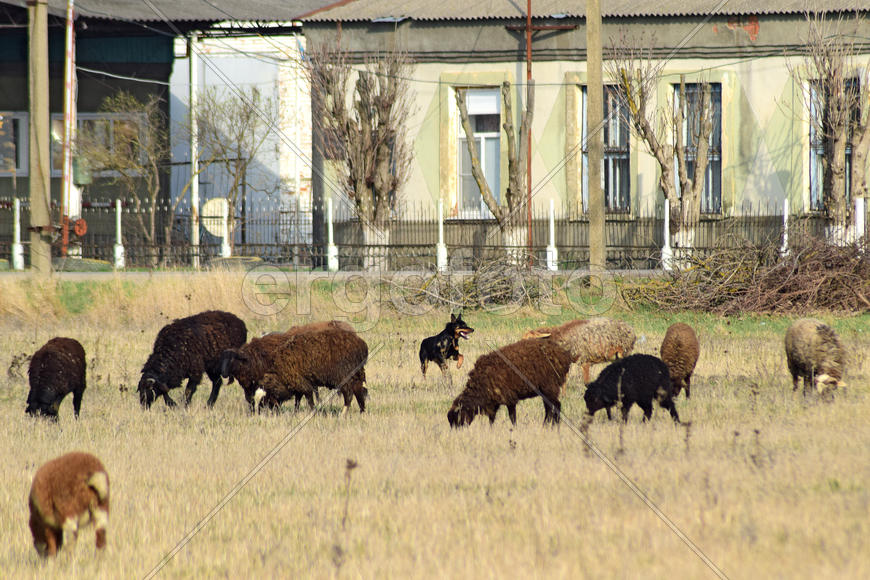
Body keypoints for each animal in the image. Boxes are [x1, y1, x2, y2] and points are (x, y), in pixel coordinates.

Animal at [221, 325, 369, 413]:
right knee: (359, 392)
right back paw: (362, 412)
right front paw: (297, 412)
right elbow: (299, 398)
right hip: (357, 375)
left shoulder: (300, 381)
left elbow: (307, 398)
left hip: (345, 377)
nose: (260, 413)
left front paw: (312, 411)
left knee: (349, 395)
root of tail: (361, 344)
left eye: (268, 398)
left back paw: (344, 414)